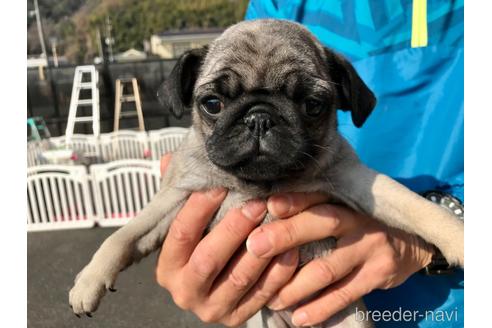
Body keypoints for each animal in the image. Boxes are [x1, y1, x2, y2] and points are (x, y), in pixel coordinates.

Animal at [69, 19, 466, 326]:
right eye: (212, 103)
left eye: (313, 105)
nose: (259, 117)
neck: (260, 184)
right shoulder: (178, 196)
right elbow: (123, 236)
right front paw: (89, 282)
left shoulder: (356, 179)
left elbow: (418, 207)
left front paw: (459, 238)